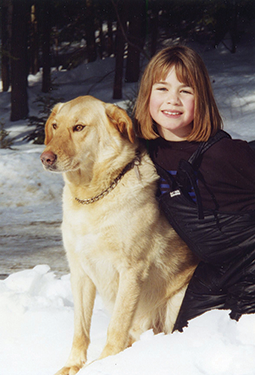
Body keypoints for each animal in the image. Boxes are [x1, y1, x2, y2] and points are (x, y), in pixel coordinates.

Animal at [40, 96, 197, 375]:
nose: (45, 158)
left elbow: (116, 325)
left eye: (79, 127)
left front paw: (105, 364)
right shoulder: (79, 272)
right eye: (55, 126)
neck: (93, 196)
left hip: (176, 301)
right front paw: (73, 365)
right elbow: (80, 329)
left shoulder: (131, 270)